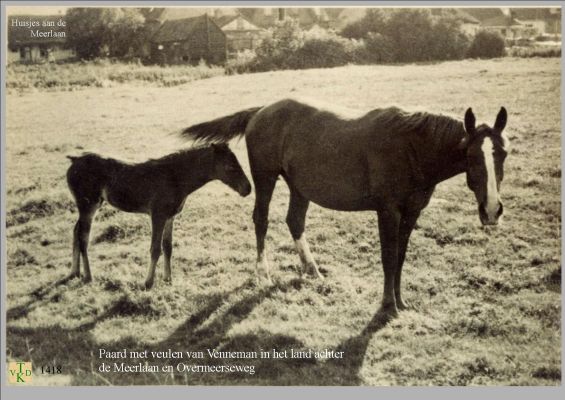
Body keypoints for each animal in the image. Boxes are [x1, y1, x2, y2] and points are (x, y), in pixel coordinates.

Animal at [66, 144, 251, 288]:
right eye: (229, 166)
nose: (248, 188)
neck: (175, 177)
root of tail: (74, 159)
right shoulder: (158, 216)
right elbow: (155, 249)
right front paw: (148, 282)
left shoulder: (170, 217)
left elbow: (167, 247)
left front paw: (168, 279)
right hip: (88, 205)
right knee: (83, 238)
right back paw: (88, 276)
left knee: (75, 231)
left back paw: (75, 272)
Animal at [180, 98, 506, 320]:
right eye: (471, 156)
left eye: (503, 153)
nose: (492, 210)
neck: (412, 147)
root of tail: (261, 111)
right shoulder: (388, 212)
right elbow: (389, 257)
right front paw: (388, 305)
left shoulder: (412, 212)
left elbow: (400, 257)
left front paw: (400, 301)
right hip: (265, 178)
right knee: (261, 220)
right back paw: (263, 273)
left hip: (299, 186)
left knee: (294, 221)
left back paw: (311, 269)